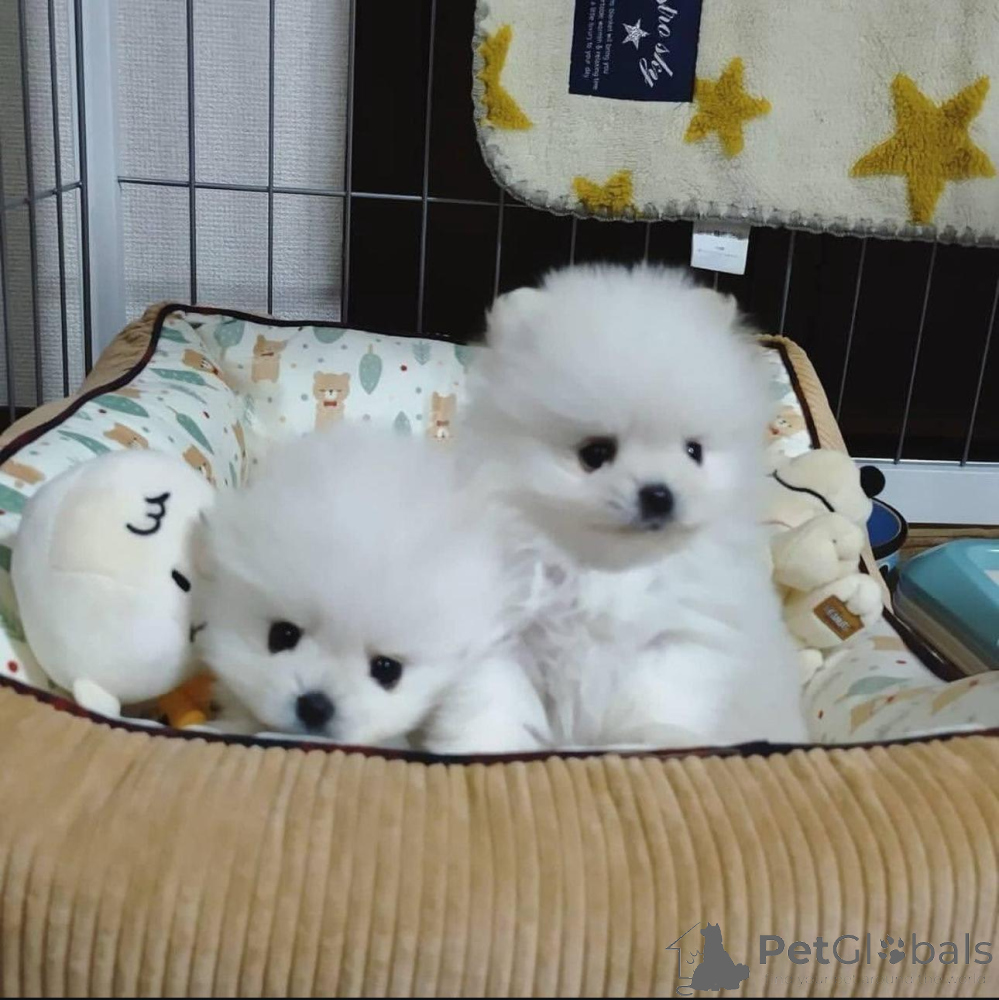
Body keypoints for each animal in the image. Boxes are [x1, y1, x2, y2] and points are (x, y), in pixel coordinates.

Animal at [462, 264, 808, 748]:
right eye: (595, 454)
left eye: (693, 452)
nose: (659, 494)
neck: (610, 569)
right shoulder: (506, 637)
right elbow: (495, 707)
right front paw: (485, 750)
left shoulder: (680, 640)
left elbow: (659, 703)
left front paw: (653, 743)